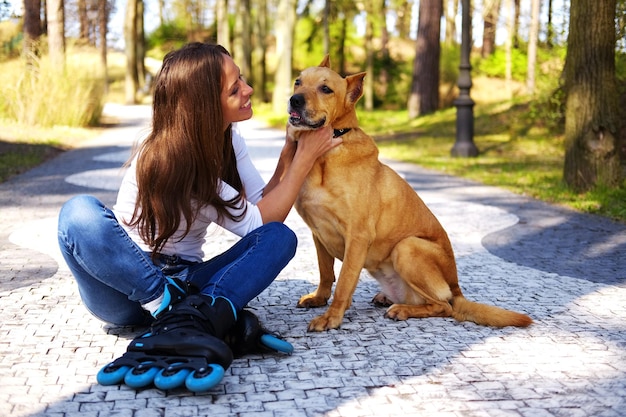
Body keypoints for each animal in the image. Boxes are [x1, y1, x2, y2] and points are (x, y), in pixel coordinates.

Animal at [286, 57, 528, 332]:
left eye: (325, 89)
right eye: (298, 81)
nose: (294, 99)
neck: (324, 156)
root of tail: (457, 291)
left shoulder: (357, 236)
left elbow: (345, 282)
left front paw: (332, 317)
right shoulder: (319, 234)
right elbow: (326, 274)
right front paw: (319, 298)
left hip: (407, 246)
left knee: (443, 306)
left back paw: (402, 309)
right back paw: (388, 298)